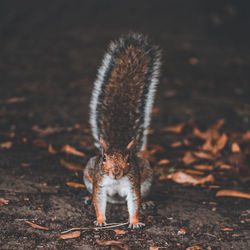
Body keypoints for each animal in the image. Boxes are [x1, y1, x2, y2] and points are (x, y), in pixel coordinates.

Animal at [84, 32, 162, 229]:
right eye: (104, 158)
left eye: (128, 159)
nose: (115, 171)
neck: (116, 180)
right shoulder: (100, 184)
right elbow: (99, 201)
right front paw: (100, 220)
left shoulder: (132, 183)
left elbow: (134, 202)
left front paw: (134, 222)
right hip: (88, 175)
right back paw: (87, 197)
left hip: (146, 179)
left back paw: (147, 202)